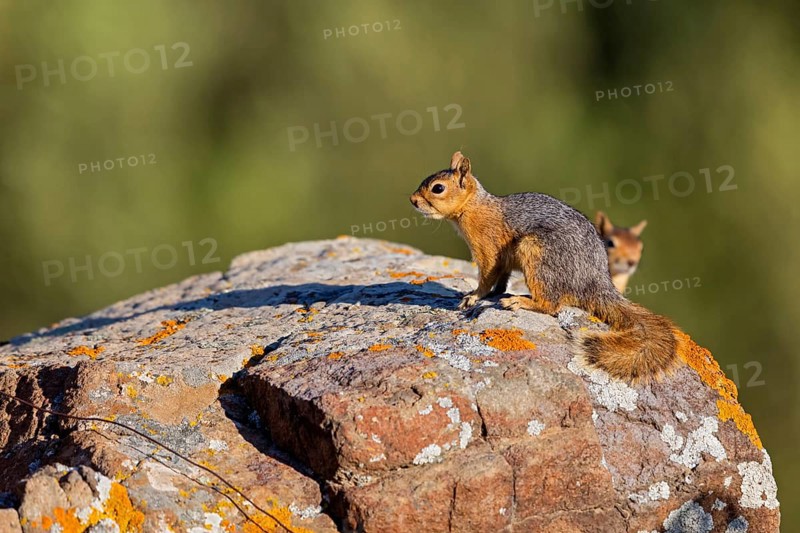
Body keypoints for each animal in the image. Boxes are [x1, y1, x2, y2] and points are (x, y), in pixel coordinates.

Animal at [410, 151, 683, 382]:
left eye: (438, 188)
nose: (412, 200)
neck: (473, 207)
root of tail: (595, 281)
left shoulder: (488, 248)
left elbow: (487, 276)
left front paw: (473, 297)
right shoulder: (503, 259)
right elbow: (502, 278)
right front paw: (494, 292)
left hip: (537, 254)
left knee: (551, 305)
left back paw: (520, 302)